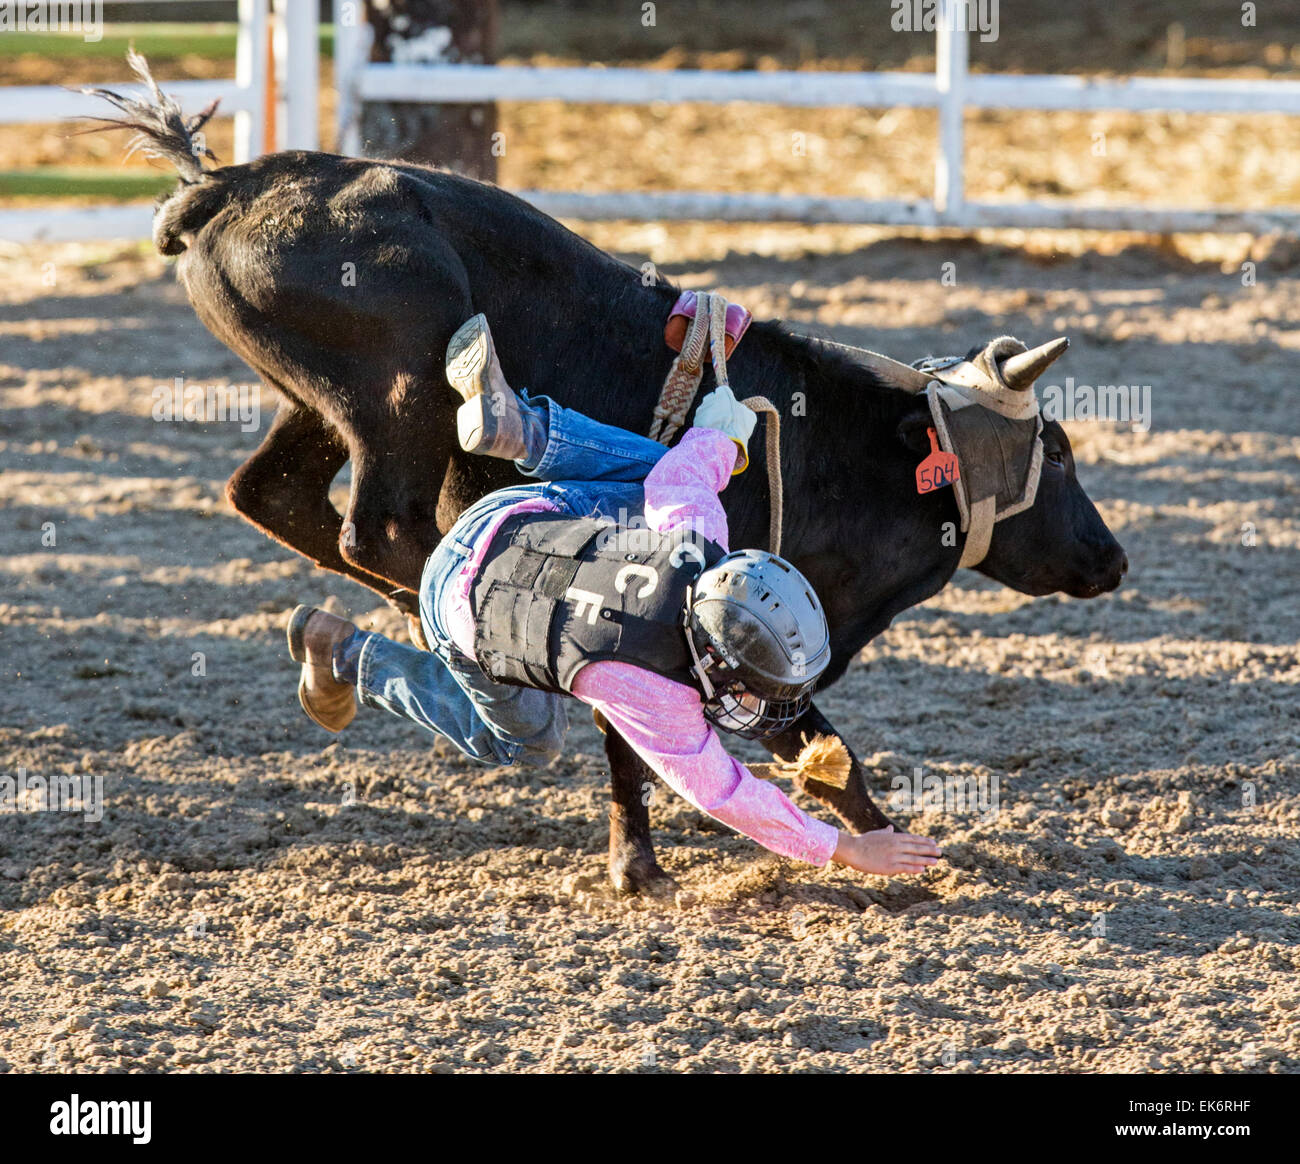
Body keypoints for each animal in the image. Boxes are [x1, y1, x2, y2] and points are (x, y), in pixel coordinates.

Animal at [85, 56, 1127, 894]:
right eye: (1058, 451)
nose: (1113, 558)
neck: (834, 444)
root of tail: (225, 186)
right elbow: (771, 742)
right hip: (396, 390)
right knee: (374, 521)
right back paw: (445, 598)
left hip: (316, 402)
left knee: (273, 495)